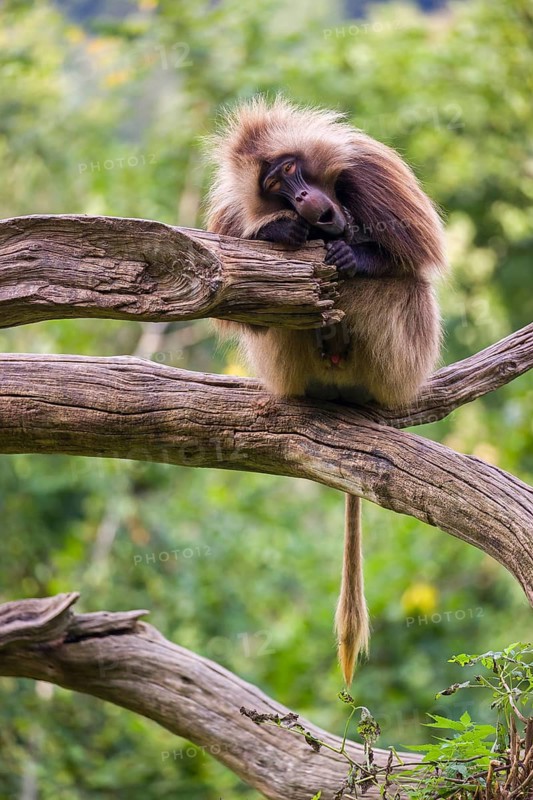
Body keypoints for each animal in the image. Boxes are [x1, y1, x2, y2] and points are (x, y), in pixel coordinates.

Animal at [205, 97, 447, 685]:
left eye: (292, 169)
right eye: (273, 185)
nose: (300, 201)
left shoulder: (372, 170)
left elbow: (420, 254)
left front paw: (351, 254)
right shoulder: (232, 215)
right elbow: (242, 310)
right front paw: (276, 232)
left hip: (400, 369)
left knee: (398, 285)